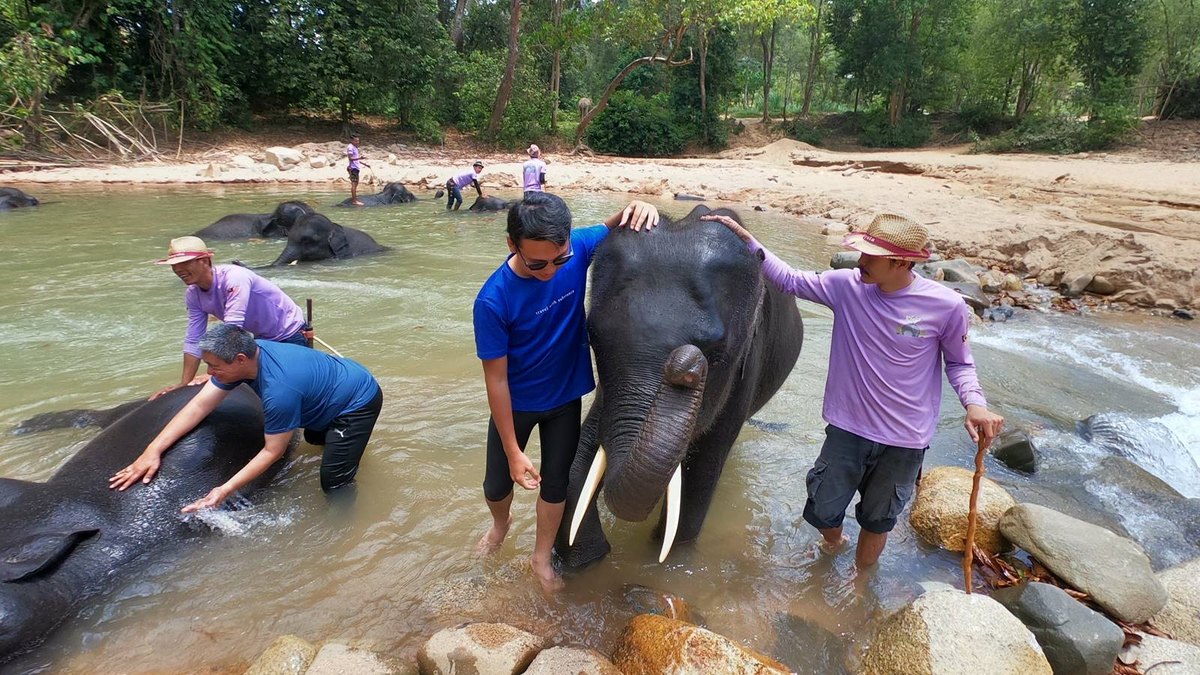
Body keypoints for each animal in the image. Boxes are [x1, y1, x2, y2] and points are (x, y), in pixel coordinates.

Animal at [557, 205, 803, 569]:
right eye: (593, 338)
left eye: (716, 354)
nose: (685, 365)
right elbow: (585, 446)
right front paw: (584, 561)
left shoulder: (746, 366)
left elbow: (702, 470)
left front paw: (665, 558)